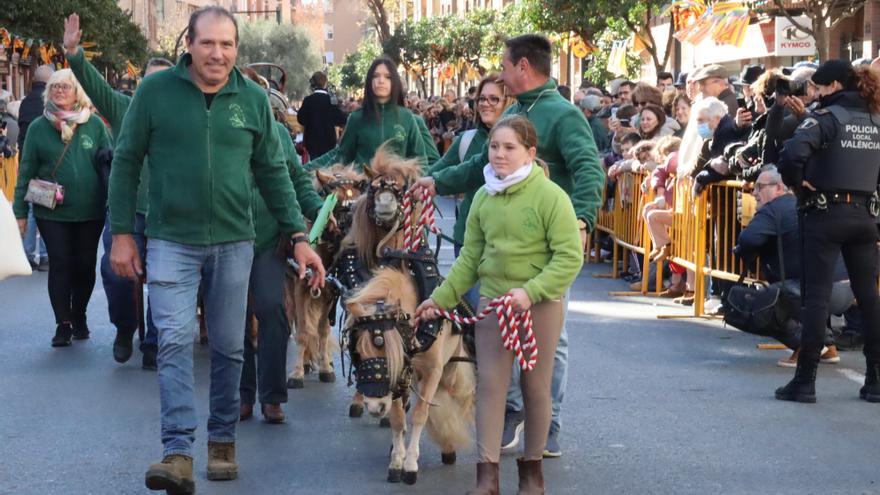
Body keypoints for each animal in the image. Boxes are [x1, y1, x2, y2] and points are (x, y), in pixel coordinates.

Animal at [288, 165, 366, 390]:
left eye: (356, 204)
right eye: (336, 204)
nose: (351, 239)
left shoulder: (330, 294)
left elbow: (322, 330)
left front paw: (325, 368)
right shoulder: (300, 289)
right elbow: (304, 332)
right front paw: (296, 373)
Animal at [348, 268, 478, 484]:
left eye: (393, 351)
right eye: (358, 351)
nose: (374, 406)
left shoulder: (432, 372)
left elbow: (420, 415)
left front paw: (410, 464)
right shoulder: (399, 380)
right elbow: (398, 419)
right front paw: (397, 461)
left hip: (449, 370)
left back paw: (447, 444)